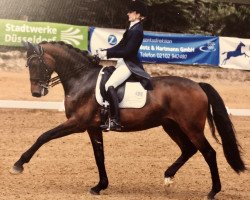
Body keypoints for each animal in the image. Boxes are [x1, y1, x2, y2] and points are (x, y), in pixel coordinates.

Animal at [10, 41, 246, 199]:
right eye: (28, 65)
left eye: (37, 63)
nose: (36, 93)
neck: (82, 79)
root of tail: (198, 85)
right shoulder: (92, 127)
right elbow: (99, 156)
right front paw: (99, 186)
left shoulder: (77, 123)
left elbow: (44, 136)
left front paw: (18, 164)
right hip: (171, 125)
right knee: (189, 149)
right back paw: (168, 176)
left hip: (191, 127)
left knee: (209, 153)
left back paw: (213, 191)